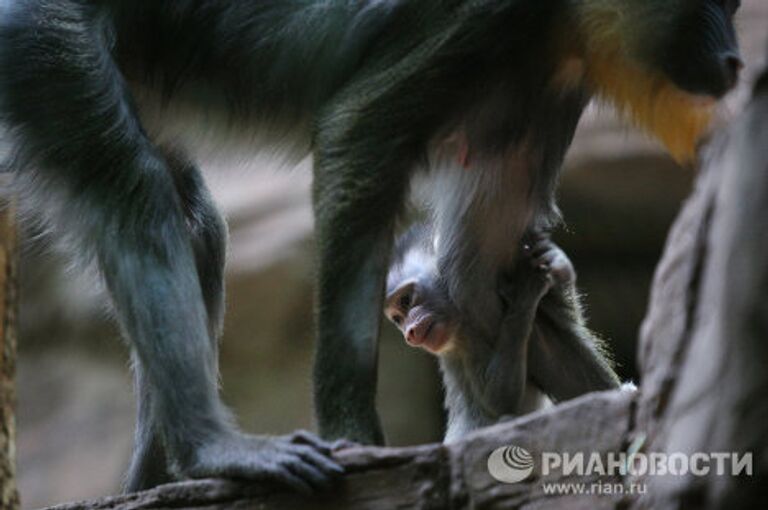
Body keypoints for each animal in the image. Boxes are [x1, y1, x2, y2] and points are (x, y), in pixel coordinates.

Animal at [388, 225, 620, 440]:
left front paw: (557, 263)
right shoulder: (463, 343)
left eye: (405, 300)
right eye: (397, 319)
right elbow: (499, 399)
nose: (408, 332)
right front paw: (522, 298)